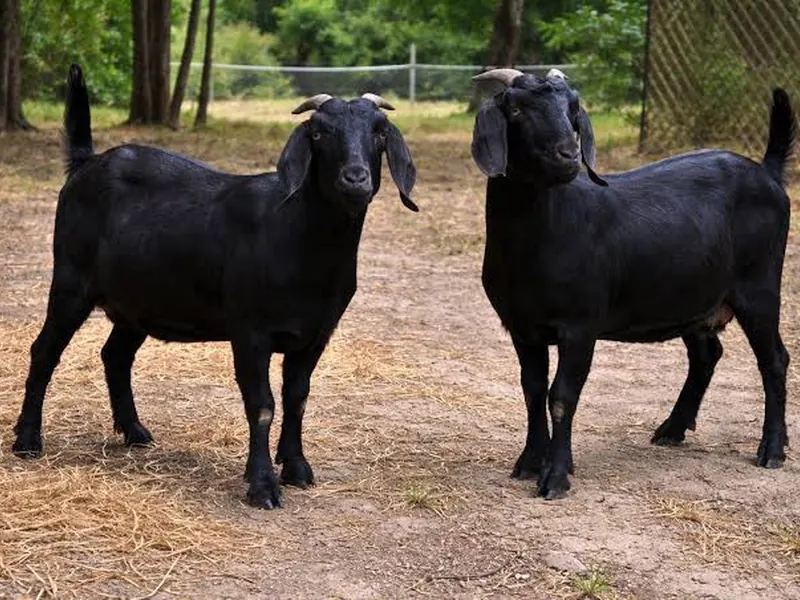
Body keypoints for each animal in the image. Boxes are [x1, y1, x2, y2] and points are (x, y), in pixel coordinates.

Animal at [11, 65, 418, 509]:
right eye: (318, 132)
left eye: (379, 132)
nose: (355, 178)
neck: (298, 237)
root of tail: (85, 163)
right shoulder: (250, 331)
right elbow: (262, 404)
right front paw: (262, 485)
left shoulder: (316, 333)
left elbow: (297, 398)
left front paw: (296, 468)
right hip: (71, 282)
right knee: (44, 351)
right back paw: (27, 441)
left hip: (138, 300)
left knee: (115, 356)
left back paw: (134, 432)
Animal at [471, 67, 794, 499]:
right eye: (517, 109)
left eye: (572, 109)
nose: (568, 156)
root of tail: (767, 172)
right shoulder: (521, 327)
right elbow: (532, 390)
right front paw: (529, 462)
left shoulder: (579, 326)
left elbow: (562, 395)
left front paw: (556, 476)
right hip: (694, 298)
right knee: (707, 355)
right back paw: (673, 429)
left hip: (759, 286)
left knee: (773, 359)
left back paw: (771, 449)